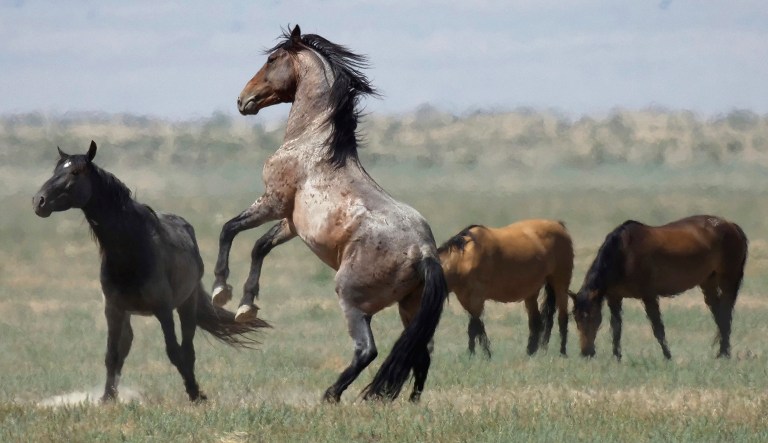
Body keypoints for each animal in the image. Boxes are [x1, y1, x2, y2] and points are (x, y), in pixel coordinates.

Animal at [32, 141, 269, 402]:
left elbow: (175, 352)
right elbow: (112, 354)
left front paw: (195, 393)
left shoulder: (163, 309)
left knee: (187, 348)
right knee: (125, 347)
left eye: (75, 172)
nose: (38, 201)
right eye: (56, 170)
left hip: (186, 304)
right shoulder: (113, 309)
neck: (132, 249)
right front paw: (107, 399)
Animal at [209, 25, 448, 403]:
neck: (313, 143)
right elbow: (260, 247)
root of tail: (424, 252)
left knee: (368, 351)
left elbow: (229, 229)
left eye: (272, 59)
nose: (242, 100)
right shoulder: (291, 223)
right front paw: (247, 306)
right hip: (409, 309)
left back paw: (331, 395)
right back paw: (408, 403)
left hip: (351, 299)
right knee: (419, 353)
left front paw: (221, 289)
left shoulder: (272, 203)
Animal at [437, 221, 574, 358]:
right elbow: (476, 327)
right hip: (532, 292)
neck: (463, 260)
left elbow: (475, 327)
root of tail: (558, 225)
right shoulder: (465, 299)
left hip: (560, 285)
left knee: (562, 318)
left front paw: (480, 355)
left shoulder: (477, 298)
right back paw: (530, 353)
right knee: (536, 321)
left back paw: (562, 352)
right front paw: (478, 354)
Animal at [571, 215, 748, 360]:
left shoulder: (649, 296)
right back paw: (721, 352)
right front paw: (616, 357)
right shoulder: (614, 297)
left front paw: (667, 356)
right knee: (719, 315)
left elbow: (658, 328)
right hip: (708, 282)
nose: (586, 353)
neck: (624, 254)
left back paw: (724, 354)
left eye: (591, 316)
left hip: (728, 280)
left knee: (726, 315)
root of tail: (732, 226)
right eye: (576, 318)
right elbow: (616, 328)